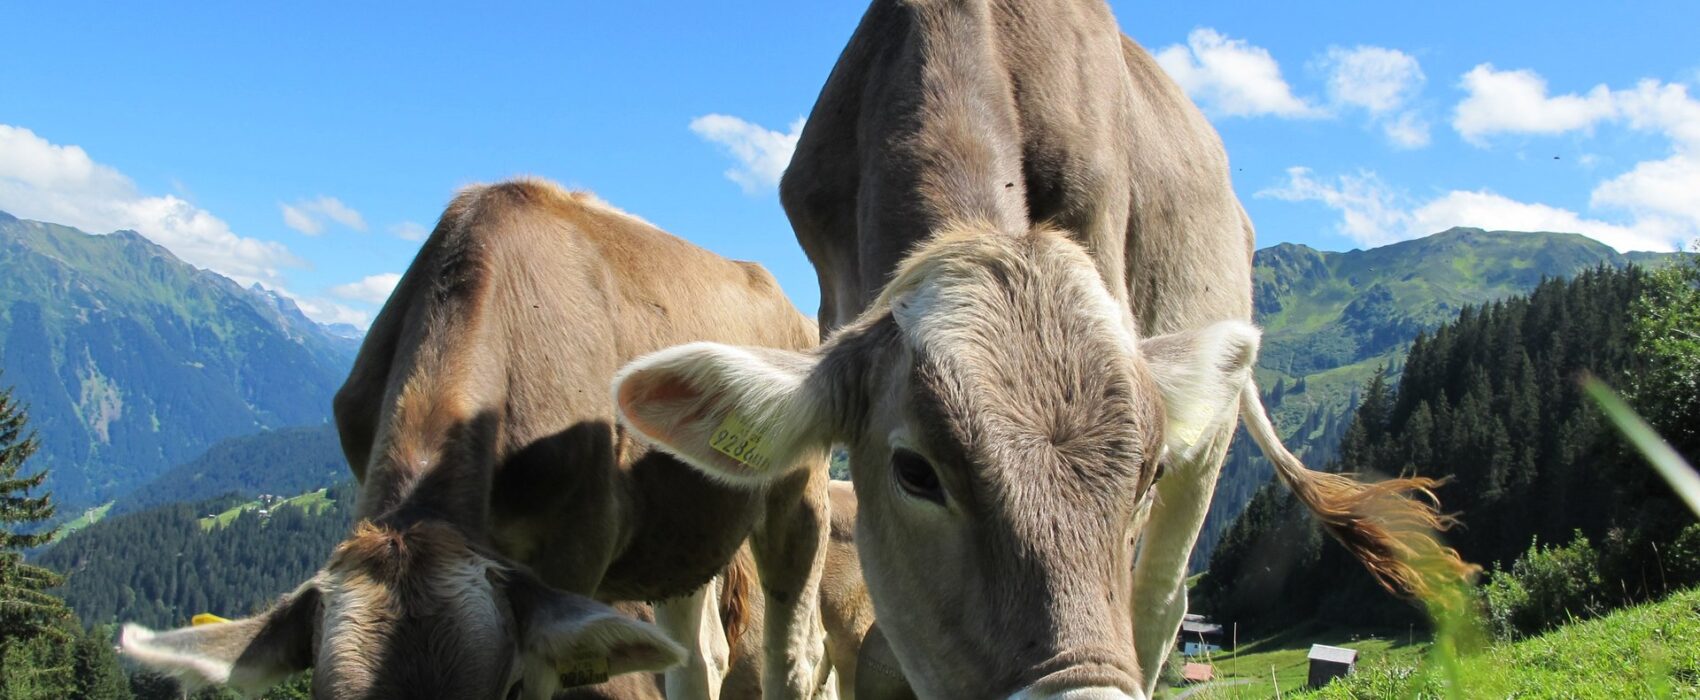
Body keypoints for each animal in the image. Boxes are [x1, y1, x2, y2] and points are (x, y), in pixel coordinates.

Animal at [119, 179, 835, 700]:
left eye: (502, 690)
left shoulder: (574, 551)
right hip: (682, 533)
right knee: (698, 657)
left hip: (798, 495)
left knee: (797, 658)